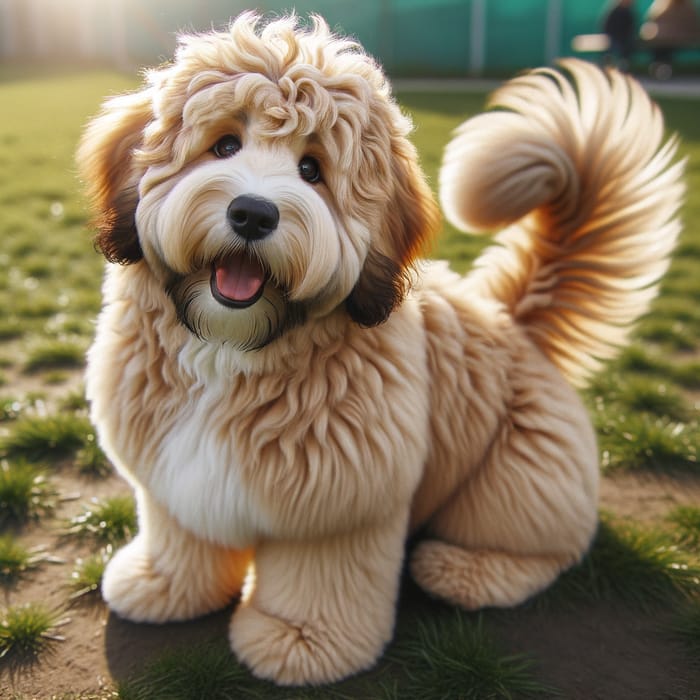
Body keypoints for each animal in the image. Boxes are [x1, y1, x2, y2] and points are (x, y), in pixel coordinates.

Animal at [78, 10, 684, 688]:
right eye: (224, 145)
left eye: (312, 170)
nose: (253, 214)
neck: (234, 350)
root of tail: (514, 322)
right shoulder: (169, 474)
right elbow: (180, 537)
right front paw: (163, 585)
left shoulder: (342, 505)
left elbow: (319, 579)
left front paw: (300, 640)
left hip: (516, 476)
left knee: (547, 546)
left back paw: (466, 570)